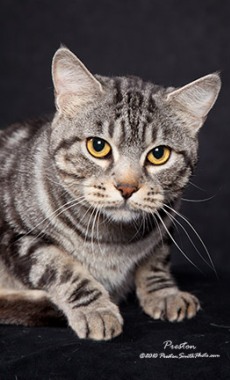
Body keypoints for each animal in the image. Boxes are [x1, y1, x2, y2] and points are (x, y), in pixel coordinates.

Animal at [0, 46, 220, 340]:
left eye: (159, 154)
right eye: (97, 146)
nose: (127, 187)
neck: (114, 242)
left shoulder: (166, 220)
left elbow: (157, 260)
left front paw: (164, 293)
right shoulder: (16, 237)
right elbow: (63, 269)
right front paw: (96, 310)